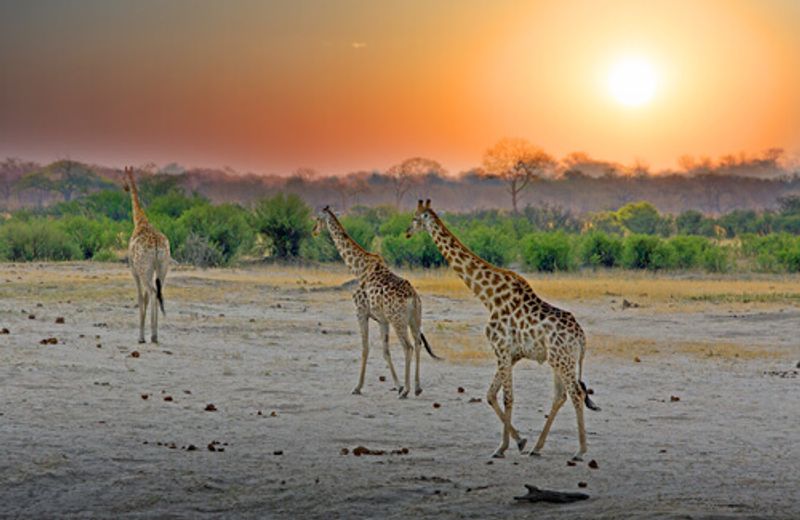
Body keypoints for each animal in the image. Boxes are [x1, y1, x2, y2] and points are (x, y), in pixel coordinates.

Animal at [122, 168, 170, 346]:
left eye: (122, 176)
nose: (125, 187)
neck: (140, 221)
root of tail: (156, 244)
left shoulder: (134, 270)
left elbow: (140, 298)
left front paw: (141, 336)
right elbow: (147, 297)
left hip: (145, 269)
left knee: (152, 291)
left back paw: (150, 336)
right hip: (163, 267)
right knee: (158, 292)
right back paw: (155, 335)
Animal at [312, 205, 440, 396]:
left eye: (318, 218)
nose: (314, 231)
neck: (358, 268)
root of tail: (413, 298)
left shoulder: (361, 312)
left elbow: (365, 348)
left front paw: (357, 387)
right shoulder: (382, 320)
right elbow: (385, 351)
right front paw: (397, 384)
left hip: (398, 320)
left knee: (408, 346)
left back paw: (406, 391)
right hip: (414, 319)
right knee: (417, 343)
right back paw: (417, 388)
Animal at [406, 199, 600, 460]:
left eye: (415, 218)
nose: (406, 232)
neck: (488, 297)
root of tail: (581, 338)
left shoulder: (501, 348)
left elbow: (507, 397)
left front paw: (503, 447)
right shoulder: (512, 353)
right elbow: (491, 395)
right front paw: (519, 442)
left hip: (563, 360)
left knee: (576, 394)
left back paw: (579, 451)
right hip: (558, 360)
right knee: (560, 396)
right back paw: (537, 447)